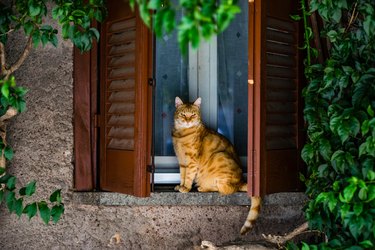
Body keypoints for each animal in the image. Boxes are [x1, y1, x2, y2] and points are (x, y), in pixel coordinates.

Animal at [173, 96, 262, 234]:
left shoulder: (192, 161)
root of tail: (241, 181)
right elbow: (182, 176)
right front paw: (180, 186)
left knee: (226, 190)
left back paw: (203, 188)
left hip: (219, 157)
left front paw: (186, 188)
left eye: (193, 115)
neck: (181, 135)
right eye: (183, 114)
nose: (188, 121)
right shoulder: (182, 162)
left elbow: (188, 177)